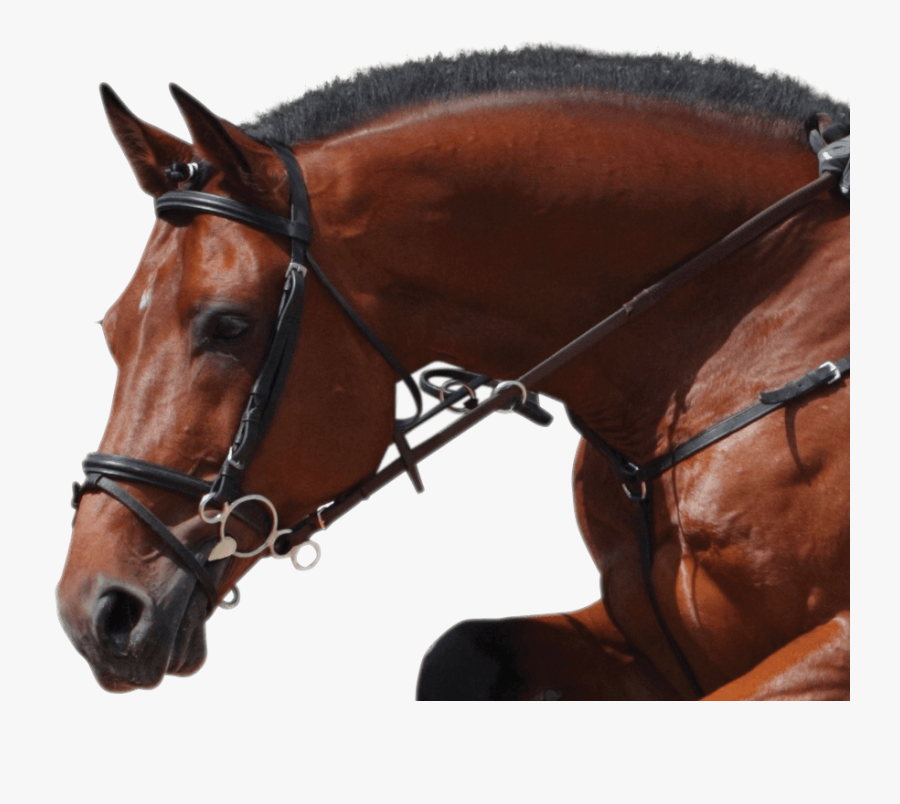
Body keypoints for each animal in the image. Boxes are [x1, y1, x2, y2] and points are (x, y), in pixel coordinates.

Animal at [57, 48, 850, 700]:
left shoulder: (828, 648)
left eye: (227, 326)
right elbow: (459, 652)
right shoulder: (645, 641)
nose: (99, 613)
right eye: (113, 330)